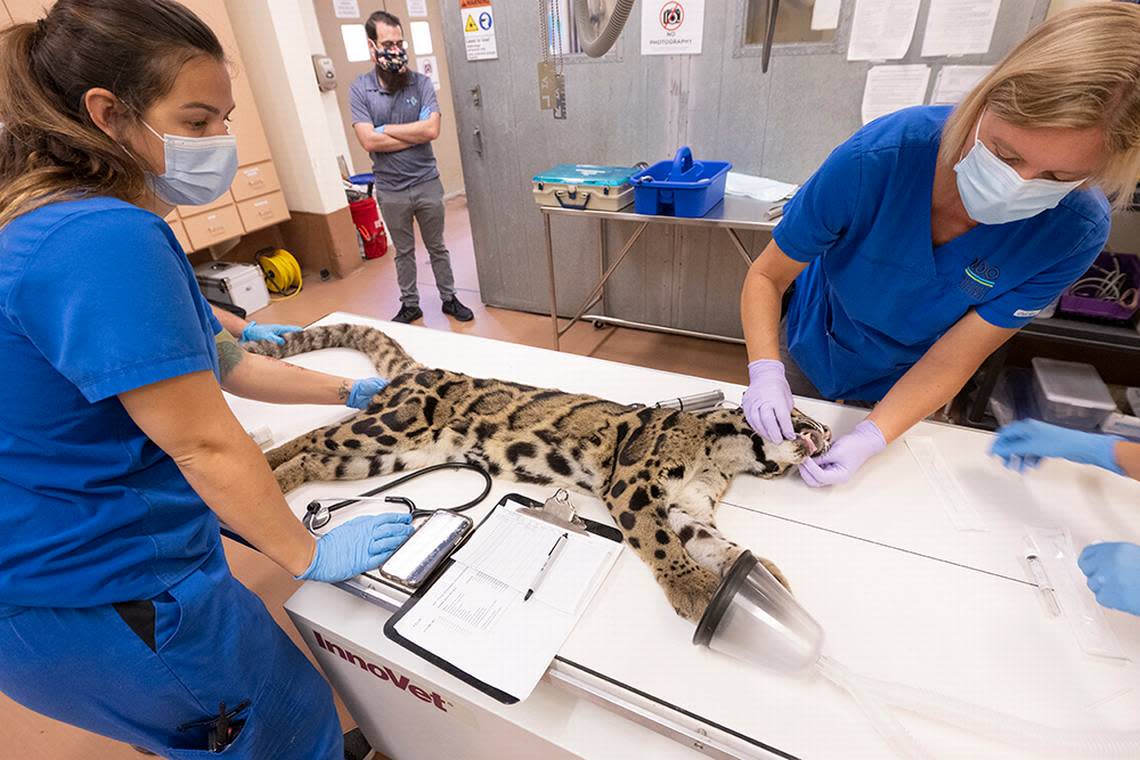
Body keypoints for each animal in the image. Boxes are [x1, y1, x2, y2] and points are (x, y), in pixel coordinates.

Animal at [247, 323, 829, 619]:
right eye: (804, 417)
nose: (826, 437)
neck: (722, 456)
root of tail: (422, 370)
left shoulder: (690, 506)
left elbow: (715, 543)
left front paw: (751, 571)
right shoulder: (634, 482)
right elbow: (659, 539)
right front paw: (692, 587)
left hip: (392, 455)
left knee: (317, 457)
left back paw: (279, 479)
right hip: (387, 428)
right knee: (313, 437)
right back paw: (264, 468)